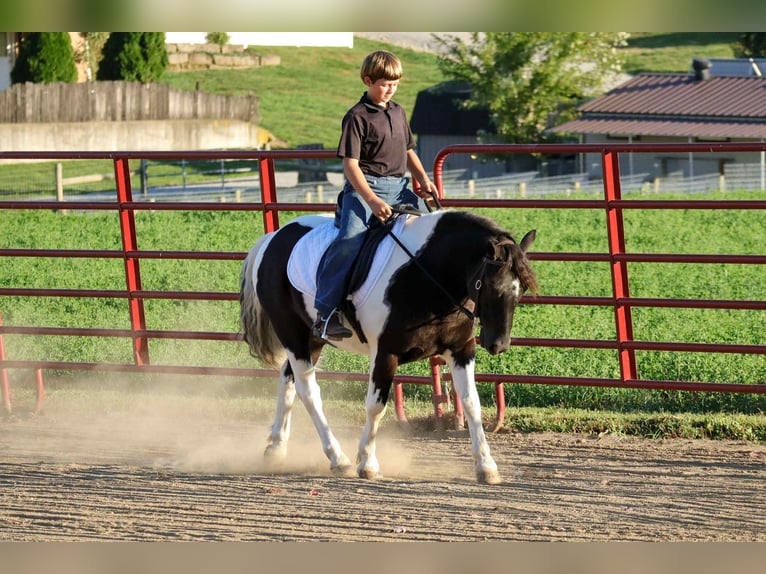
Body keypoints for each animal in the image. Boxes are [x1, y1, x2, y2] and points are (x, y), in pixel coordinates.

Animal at [239, 209, 537, 484]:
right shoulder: (385, 353)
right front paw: (367, 463)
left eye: (520, 290)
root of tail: (272, 239)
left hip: (311, 340)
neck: (425, 273)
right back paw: (338, 458)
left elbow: (471, 402)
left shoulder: (461, 350)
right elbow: (375, 406)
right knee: (309, 391)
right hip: (292, 334)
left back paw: (276, 447)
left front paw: (486, 466)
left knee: (288, 378)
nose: (498, 344)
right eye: (492, 287)